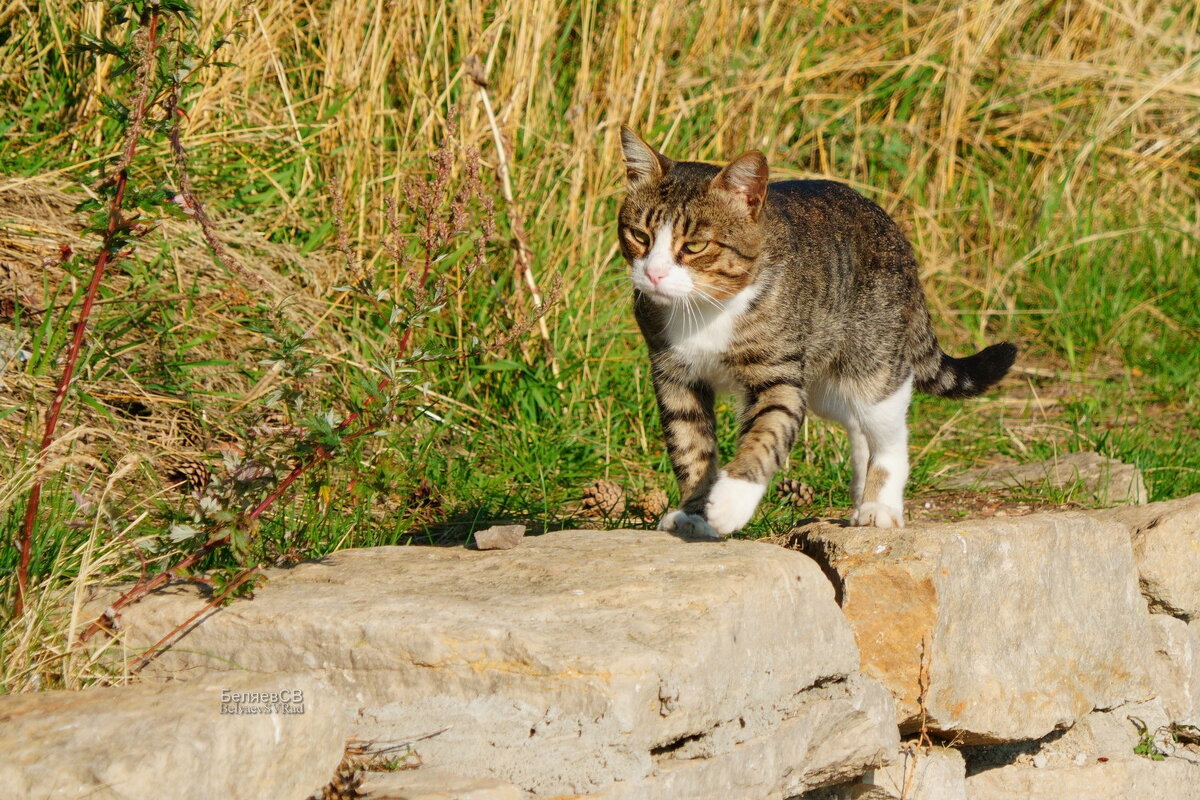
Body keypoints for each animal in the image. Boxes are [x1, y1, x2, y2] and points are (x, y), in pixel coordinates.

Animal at [614, 126, 1017, 537]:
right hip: (823, 384)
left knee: (889, 430)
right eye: (640, 236)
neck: (704, 309)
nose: (654, 274)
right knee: (856, 426)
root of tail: (893, 229)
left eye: (695, 245)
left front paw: (730, 502)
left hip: (873, 361)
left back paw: (879, 505)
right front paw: (694, 512)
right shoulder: (674, 378)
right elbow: (690, 447)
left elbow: (766, 433)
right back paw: (860, 494)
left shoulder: (778, 376)